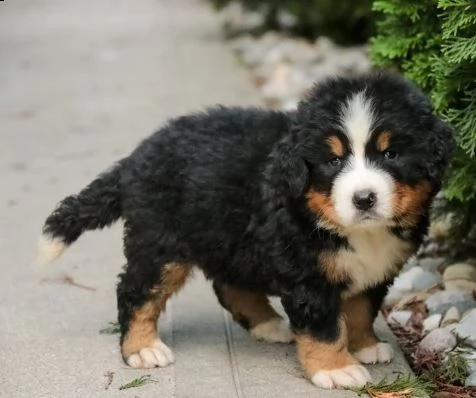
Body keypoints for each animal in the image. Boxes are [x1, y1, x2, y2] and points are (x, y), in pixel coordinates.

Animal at [36, 70, 454, 388]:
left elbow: (361, 308)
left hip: (229, 237)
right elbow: (324, 326)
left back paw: (269, 325)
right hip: (160, 244)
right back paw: (142, 348)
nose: (364, 198)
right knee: (135, 291)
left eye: (391, 154)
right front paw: (336, 369)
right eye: (333, 161)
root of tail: (134, 159)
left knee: (228, 284)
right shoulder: (307, 275)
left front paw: (367, 344)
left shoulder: (376, 270)